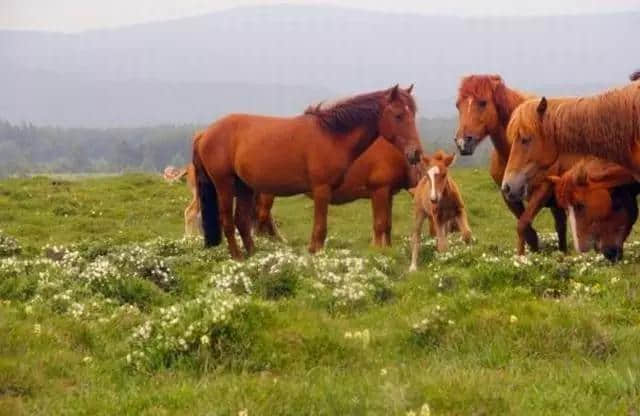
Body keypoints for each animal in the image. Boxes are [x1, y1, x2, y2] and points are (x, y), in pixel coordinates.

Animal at [192, 86, 422, 258]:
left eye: (414, 114)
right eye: (399, 115)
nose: (416, 153)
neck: (331, 136)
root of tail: (205, 132)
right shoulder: (322, 189)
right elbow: (320, 230)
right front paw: (314, 253)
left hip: (245, 187)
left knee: (242, 221)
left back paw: (253, 255)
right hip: (225, 185)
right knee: (229, 222)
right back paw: (239, 257)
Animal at [452, 75, 568, 254]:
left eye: (483, 102)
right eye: (458, 105)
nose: (462, 142)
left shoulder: (543, 190)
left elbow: (523, 225)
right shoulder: (507, 194)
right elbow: (528, 233)